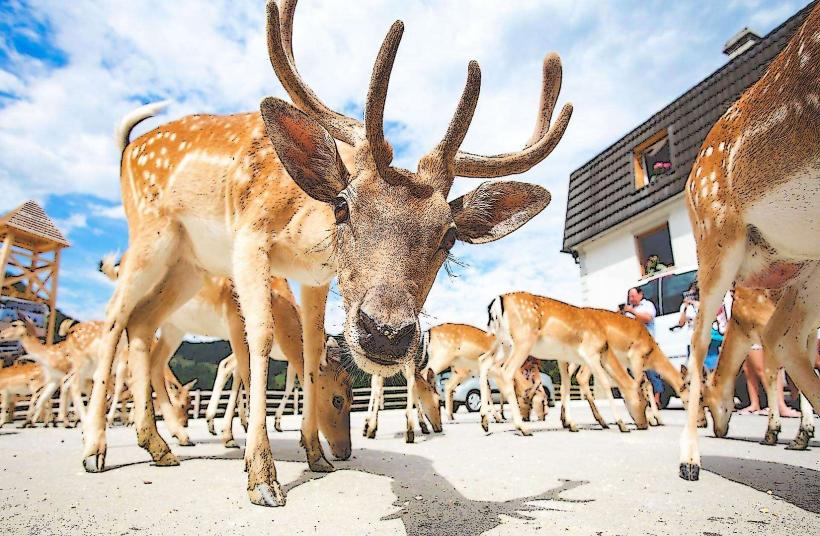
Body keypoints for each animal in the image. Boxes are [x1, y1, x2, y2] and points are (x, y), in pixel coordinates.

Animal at [91, 0, 572, 506]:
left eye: (450, 236)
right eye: (342, 205)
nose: (386, 332)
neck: (303, 233)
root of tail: (128, 148)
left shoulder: (314, 277)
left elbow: (312, 350)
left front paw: (315, 455)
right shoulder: (249, 236)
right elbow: (261, 338)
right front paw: (261, 477)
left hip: (188, 265)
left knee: (141, 324)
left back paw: (159, 445)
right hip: (149, 234)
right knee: (113, 319)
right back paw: (96, 449)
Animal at [484, 294, 652, 436]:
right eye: (645, 402)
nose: (644, 425)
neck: (604, 346)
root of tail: (496, 302)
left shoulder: (562, 358)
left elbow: (566, 386)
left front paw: (571, 424)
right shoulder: (590, 353)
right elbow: (605, 383)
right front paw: (621, 425)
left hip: (503, 345)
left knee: (486, 363)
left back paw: (486, 423)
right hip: (522, 342)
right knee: (505, 372)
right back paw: (522, 428)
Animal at [700, 288, 812, 448]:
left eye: (707, 403)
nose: (717, 431)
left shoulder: (770, 330)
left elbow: (770, 375)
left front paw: (771, 434)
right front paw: (803, 435)